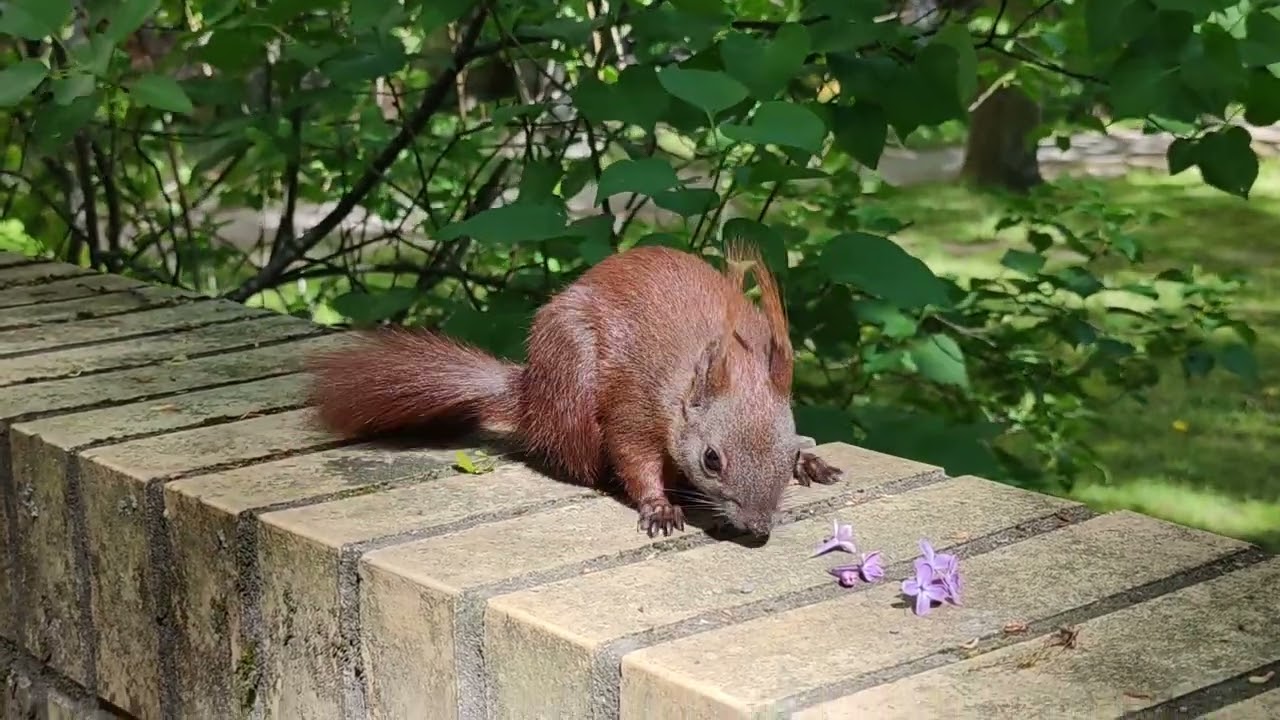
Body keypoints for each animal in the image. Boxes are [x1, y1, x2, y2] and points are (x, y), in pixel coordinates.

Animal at [306, 240, 843, 538]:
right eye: (712, 459)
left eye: (786, 448)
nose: (757, 528)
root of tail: (531, 397)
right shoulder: (632, 407)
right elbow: (634, 457)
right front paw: (658, 507)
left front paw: (809, 461)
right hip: (573, 392)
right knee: (583, 460)